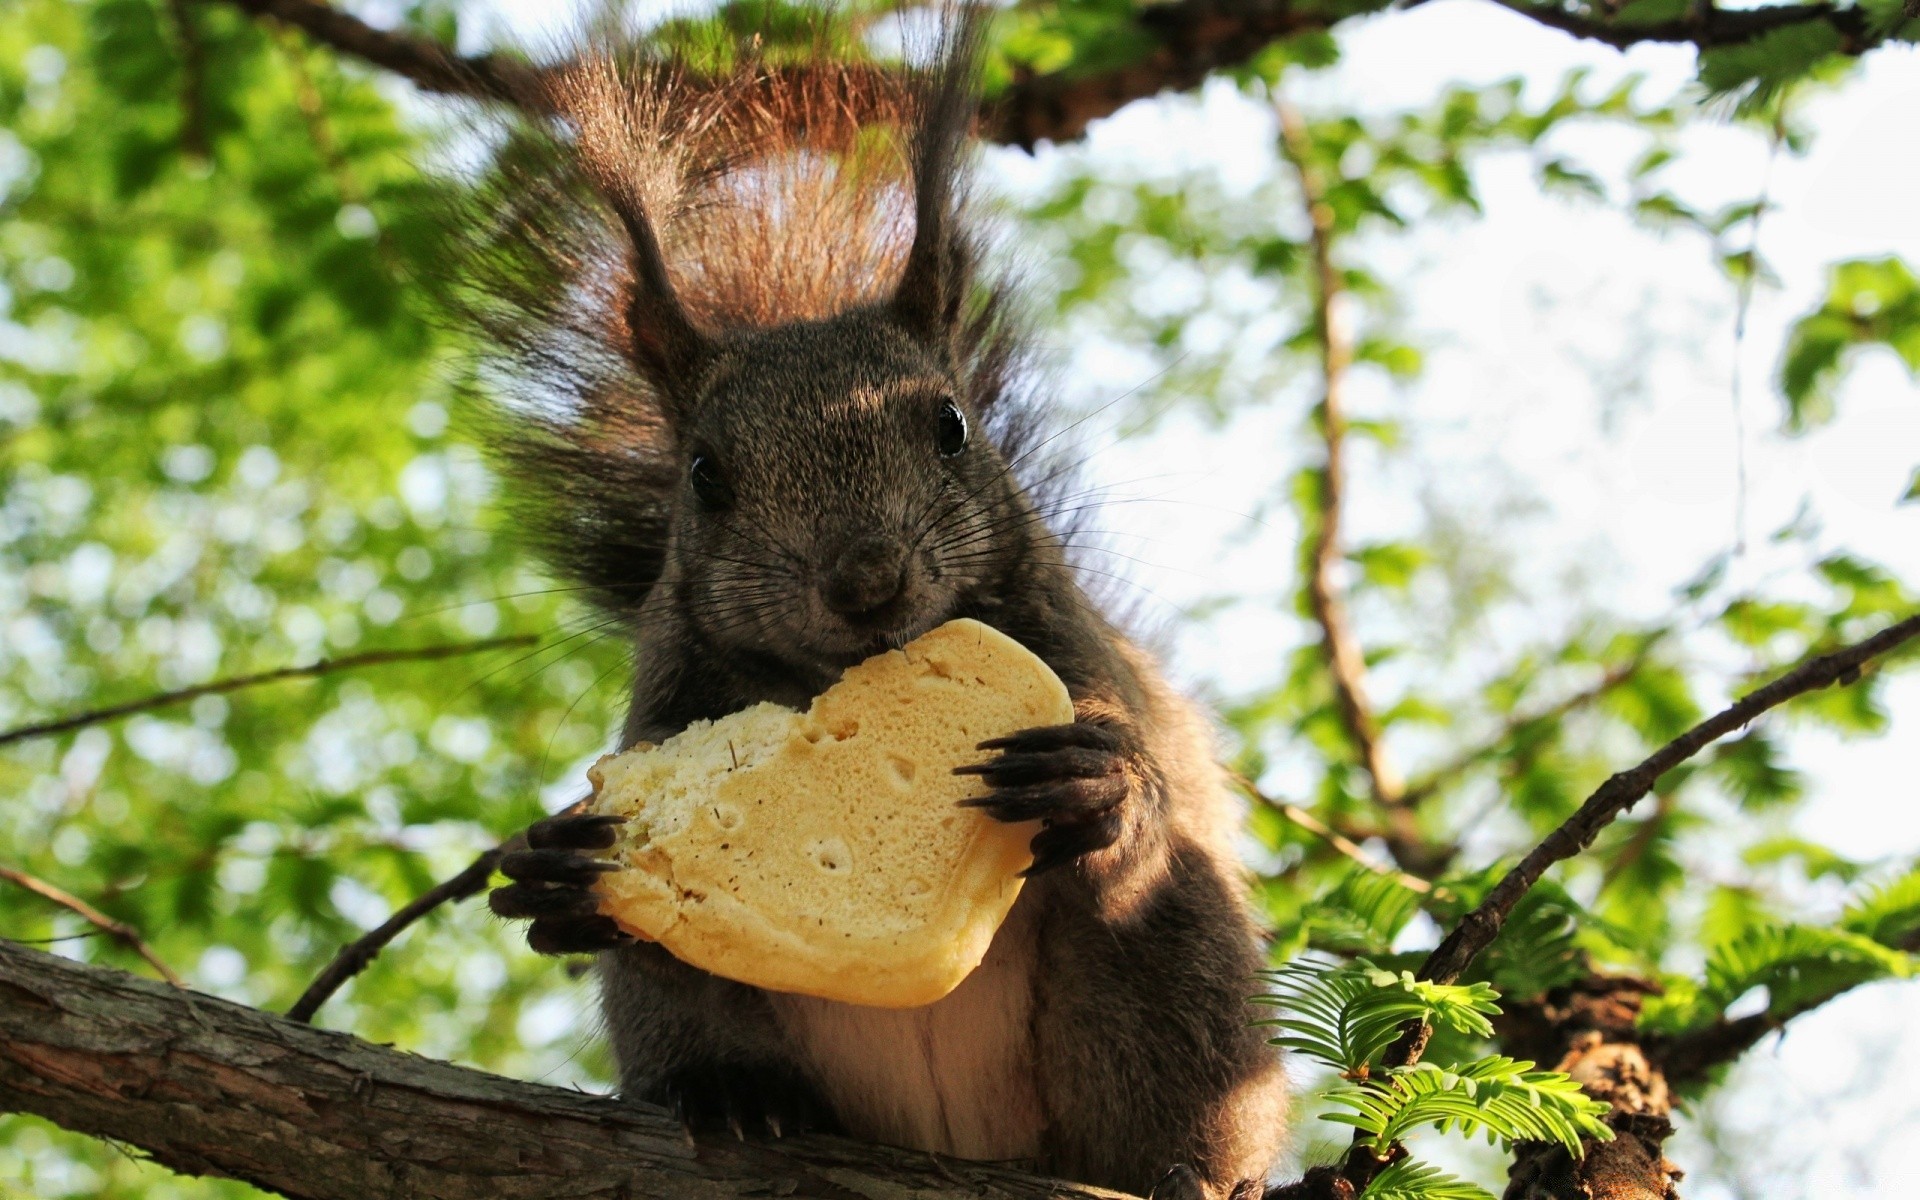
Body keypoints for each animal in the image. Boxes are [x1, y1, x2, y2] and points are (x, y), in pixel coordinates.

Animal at [476, 11, 1290, 1198]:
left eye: (951, 426)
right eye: (703, 476)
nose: (866, 581)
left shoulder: (1074, 650)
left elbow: (1138, 767)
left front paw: (1097, 778)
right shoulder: (666, 702)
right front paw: (550, 872)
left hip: (1177, 974)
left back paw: (1193, 1166)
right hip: (680, 1002)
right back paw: (733, 1094)